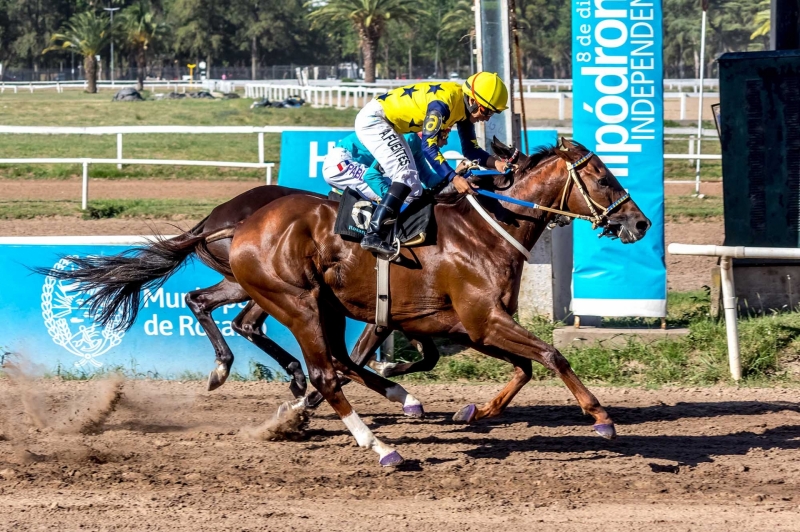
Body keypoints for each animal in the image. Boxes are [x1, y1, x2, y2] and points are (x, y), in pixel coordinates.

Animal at [228, 138, 652, 466]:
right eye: (603, 178)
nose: (641, 222)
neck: (487, 229)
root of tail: (244, 226)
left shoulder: (469, 326)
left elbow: (524, 368)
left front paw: (474, 410)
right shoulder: (485, 319)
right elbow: (552, 355)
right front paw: (600, 416)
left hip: (328, 307)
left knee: (342, 361)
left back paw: (401, 399)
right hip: (297, 304)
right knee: (325, 375)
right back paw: (381, 448)